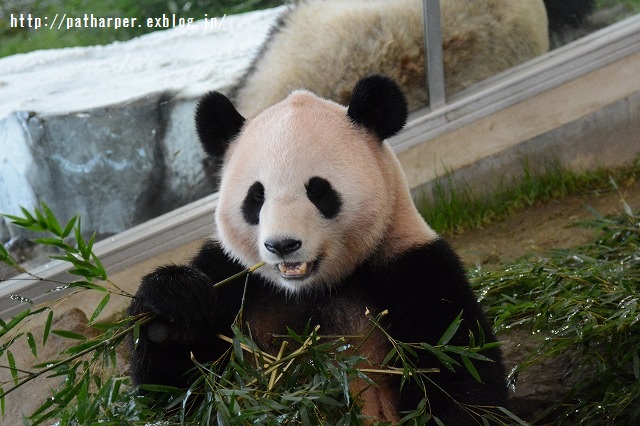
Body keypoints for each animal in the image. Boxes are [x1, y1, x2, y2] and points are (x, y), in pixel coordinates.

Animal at [127, 75, 508, 422]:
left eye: (318, 190)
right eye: (256, 196)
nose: (282, 245)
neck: (311, 289)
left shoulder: (413, 270)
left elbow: (460, 371)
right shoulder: (233, 278)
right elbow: (179, 393)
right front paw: (175, 298)